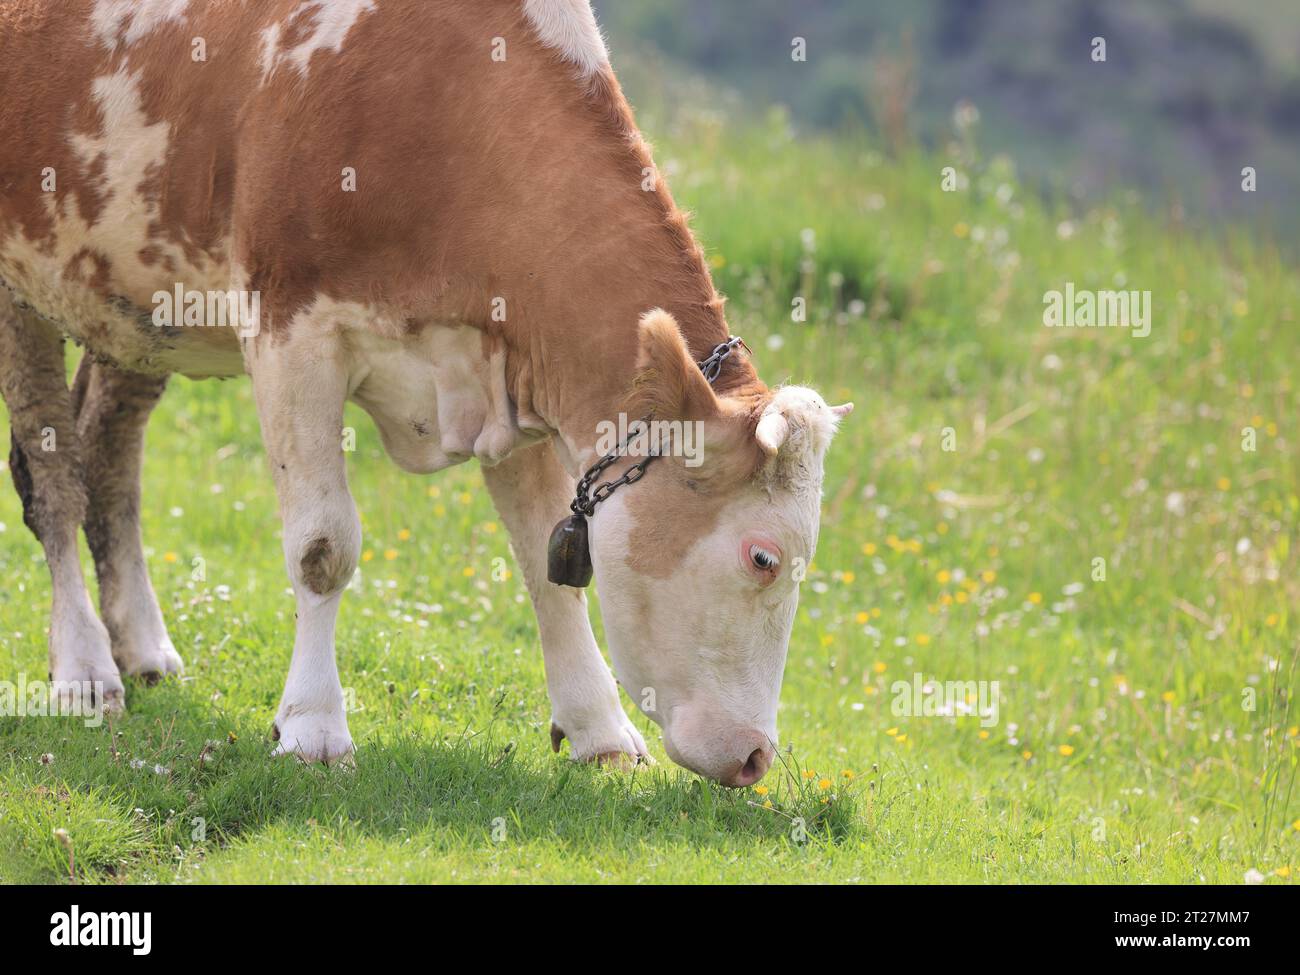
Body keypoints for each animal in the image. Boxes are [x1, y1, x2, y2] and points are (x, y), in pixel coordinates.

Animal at [0, 0, 847, 790]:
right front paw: (312, 727)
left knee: (109, 454)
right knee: (52, 478)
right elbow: (322, 548)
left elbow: (544, 564)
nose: (755, 755)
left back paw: (141, 647)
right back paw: (85, 667)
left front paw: (599, 730)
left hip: (135, 295)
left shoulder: (506, 367)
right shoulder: (292, 330)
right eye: (764, 556)